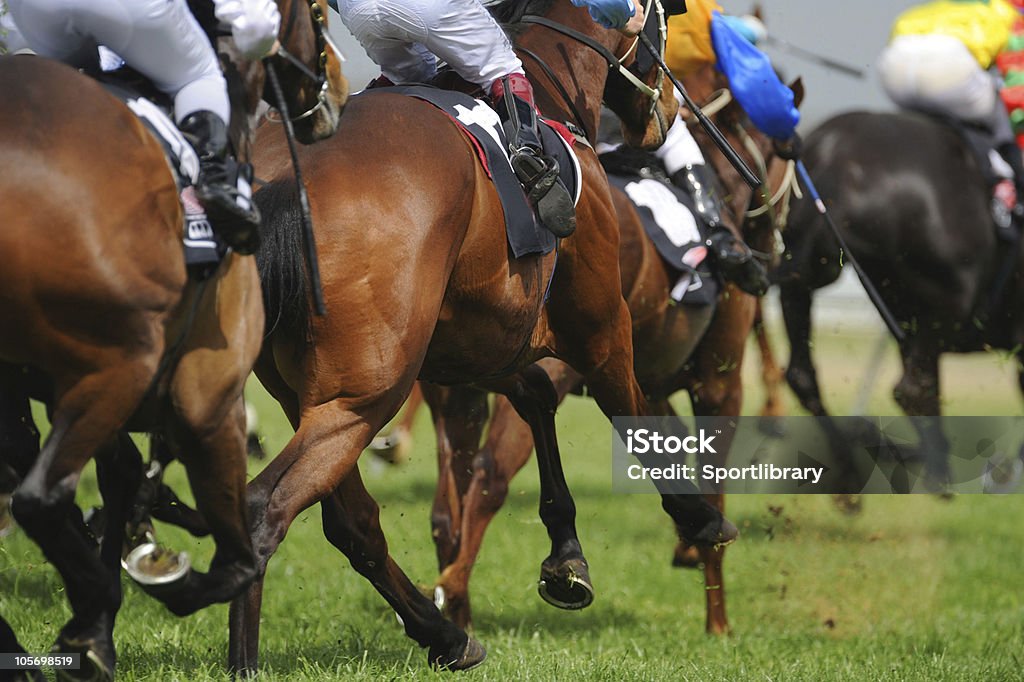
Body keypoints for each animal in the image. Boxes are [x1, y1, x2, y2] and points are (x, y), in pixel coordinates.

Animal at [0, 2, 346, 675]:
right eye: (317, 14)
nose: (336, 91)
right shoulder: (208, 399)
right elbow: (236, 558)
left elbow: (122, 475)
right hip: (124, 365)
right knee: (39, 496)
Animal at [236, 0, 741, 667]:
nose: (667, 116)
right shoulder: (601, 325)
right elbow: (633, 415)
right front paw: (699, 518)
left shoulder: (476, 345)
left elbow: (537, 400)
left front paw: (566, 558)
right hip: (364, 394)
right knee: (266, 507)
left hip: (305, 391)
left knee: (351, 522)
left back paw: (446, 634)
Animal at [421, 63, 798, 630]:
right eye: (789, 150)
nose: (773, 247)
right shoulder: (718, 382)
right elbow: (709, 476)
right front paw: (718, 618)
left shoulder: (649, 383)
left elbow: (668, 451)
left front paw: (689, 541)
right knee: (489, 474)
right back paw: (462, 586)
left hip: (455, 382)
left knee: (450, 501)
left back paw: (457, 604)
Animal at [778, 110, 1019, 483]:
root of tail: (837, 154)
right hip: (945, 303)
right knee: (914, 391)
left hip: (805, 273)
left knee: (802, 375)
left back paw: (854, 466)